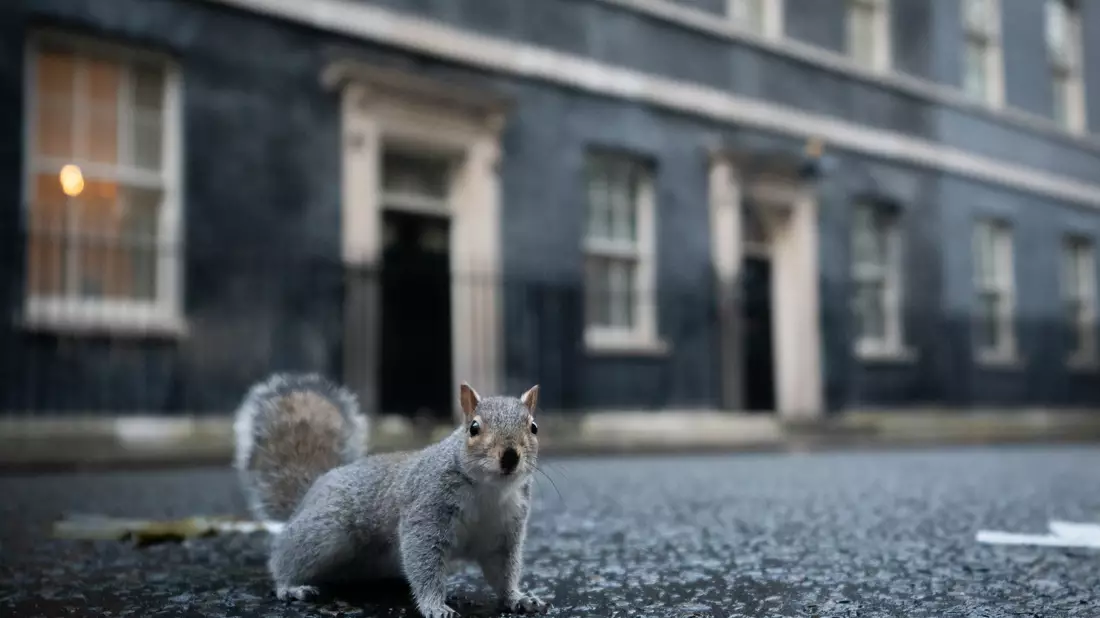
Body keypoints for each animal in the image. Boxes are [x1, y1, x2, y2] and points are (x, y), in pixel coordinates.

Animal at [232, 372, 548, 618]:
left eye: (533, 427)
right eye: (474, 428)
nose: (510, 456)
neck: (489, 491)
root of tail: (309, 494)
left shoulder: (504, 530)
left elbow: (503, 570)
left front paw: (518, 598)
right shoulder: (427, 510)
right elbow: (424, 559)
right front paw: (435, 606)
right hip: (325, 532)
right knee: (286, 556)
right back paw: (290, 586)